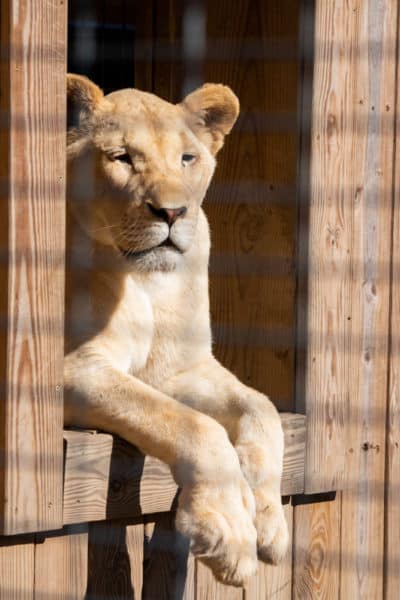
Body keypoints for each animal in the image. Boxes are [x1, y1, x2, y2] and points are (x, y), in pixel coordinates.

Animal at [65, 74, 290, 584]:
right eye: (122, 157)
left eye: (187, 158)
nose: (171, 213)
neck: (147, 282)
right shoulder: (74, 367)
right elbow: (193, 425)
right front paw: (228, 528)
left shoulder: (180, 371)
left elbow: (262, 408)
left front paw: (269, 521)